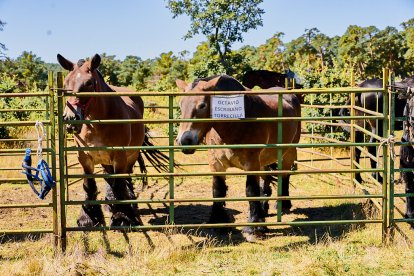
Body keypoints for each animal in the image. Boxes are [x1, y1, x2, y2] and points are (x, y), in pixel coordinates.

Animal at [57, 54, 167, 229]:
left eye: (89, 83)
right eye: (66, 82)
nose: (70, 118)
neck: (97, 124)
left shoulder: (119, 157)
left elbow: (119, 185)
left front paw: (123, 216)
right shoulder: (85, 158)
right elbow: (90, 185)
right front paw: (88, 217)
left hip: (131, 156)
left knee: (126, 178)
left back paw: (129, 203)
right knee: (109, 178)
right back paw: (110, 204)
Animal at [175, 74, 300, 236]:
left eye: (202, 105)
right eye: (180, 104)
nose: (185, 140)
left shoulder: (251, 164)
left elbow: (251, 191)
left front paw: (252, 226)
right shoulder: (216, 164)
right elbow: (218, 190)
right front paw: (217, 222)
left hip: (288, 151)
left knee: (284, 176)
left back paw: (283, 204)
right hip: (264, 161)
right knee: (266, 182)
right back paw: (264, 211)